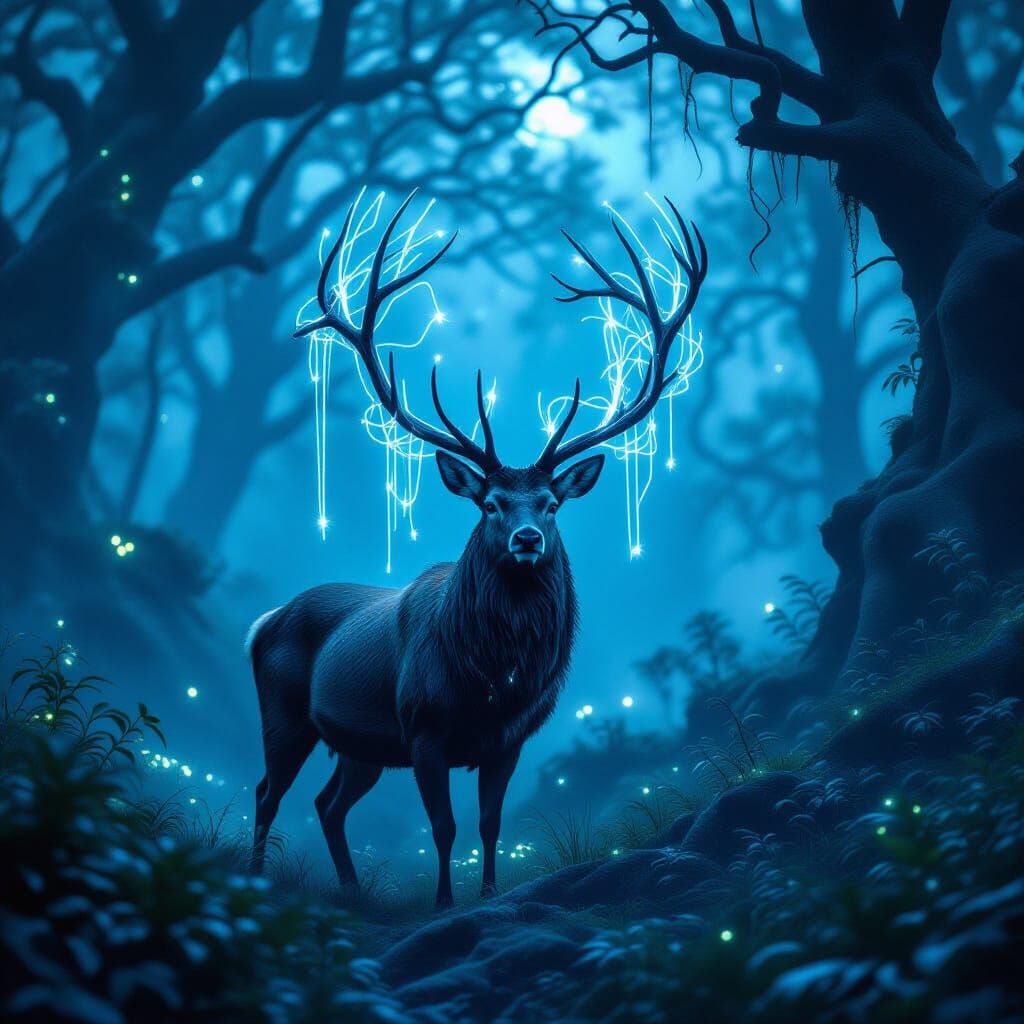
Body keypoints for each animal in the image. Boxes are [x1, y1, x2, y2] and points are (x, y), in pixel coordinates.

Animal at [246, 194, 706, 908]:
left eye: (550, 504)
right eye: (489, 504)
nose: (527, 539)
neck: (490, 678)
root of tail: (264, 621)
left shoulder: (509, 739)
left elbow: (489, 823)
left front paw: (488, 894)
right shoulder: (423, 727)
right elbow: (444, 825)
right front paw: (443, 902)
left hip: (359, 745)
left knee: (328, 803)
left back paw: (351, 889)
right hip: (286, 713)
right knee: (269, 790)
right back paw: (256, 877)